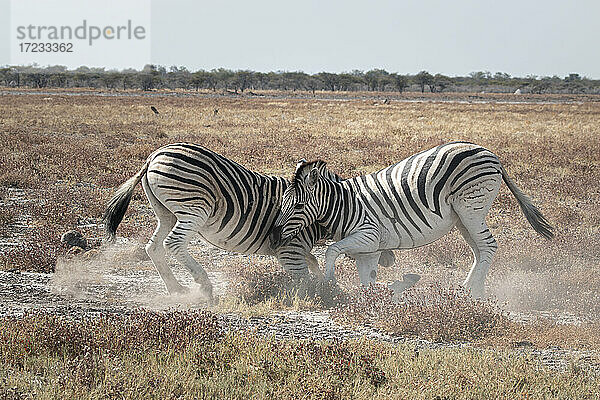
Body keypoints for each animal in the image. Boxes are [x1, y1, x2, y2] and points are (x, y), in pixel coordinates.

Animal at [103, 142, 394, 302]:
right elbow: (303, 276)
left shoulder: (297, 248)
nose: (390, 259)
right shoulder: (289, 249)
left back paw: (177, 289)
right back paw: (204, 286)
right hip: (194, 208)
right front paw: (320, 295)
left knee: (153, 246)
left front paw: (324, 285)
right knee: (173, 243)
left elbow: (313, 264)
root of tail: (154, 154)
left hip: (165, 211)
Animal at [270, 141, 552, 296]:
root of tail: (490, 153)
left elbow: (331, 250)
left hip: (472, 207)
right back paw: (473, 289)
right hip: (463, 217)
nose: (273, 237)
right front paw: (374, 299)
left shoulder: (368, 234)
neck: (344, 205)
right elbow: (367, 280)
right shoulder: (370, 249)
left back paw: (471, 291)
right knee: (479, 249)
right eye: (281, 203)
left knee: (488, 246)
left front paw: (330, 282)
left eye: (298, 205)